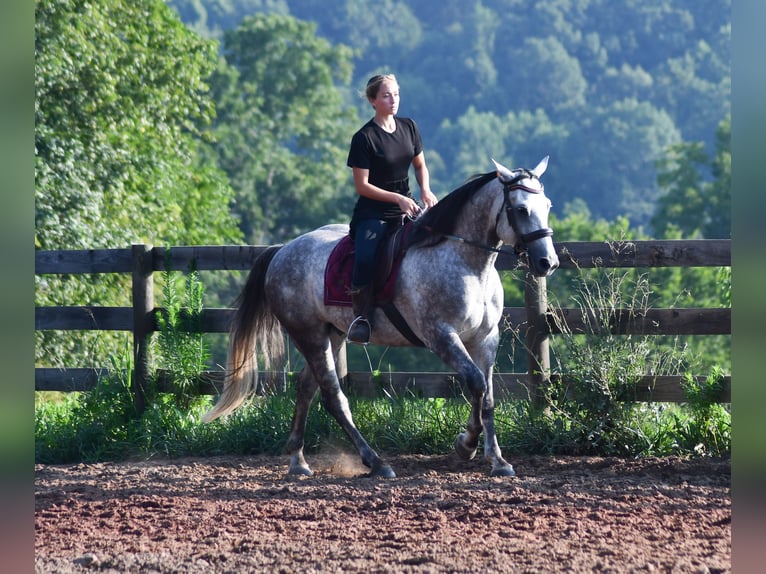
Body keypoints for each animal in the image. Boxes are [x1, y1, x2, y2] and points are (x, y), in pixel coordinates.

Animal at [203, 156, 559, 477]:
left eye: (547, 205)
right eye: (521, 209)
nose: (548, 263)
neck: (465, 261)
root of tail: (281, 251)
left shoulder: (485, 339)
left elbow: (487, 394)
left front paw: (496, 460)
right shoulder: (441, 335)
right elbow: (475, 383)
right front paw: (466, 445)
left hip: (332, 333)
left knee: (306, 388)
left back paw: (298, 461)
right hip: (309, 334)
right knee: (333, 396)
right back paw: (376, 463)